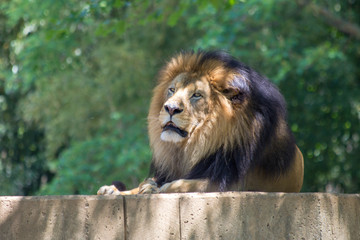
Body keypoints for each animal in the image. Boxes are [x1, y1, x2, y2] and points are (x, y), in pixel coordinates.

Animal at [98, 50, 304, 195]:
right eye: (172, 90)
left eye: (196, 95)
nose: (170, 108)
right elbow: (143, 184)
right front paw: (115, 190)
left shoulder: (233, 181)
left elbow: (185, 184)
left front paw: (156, 188)